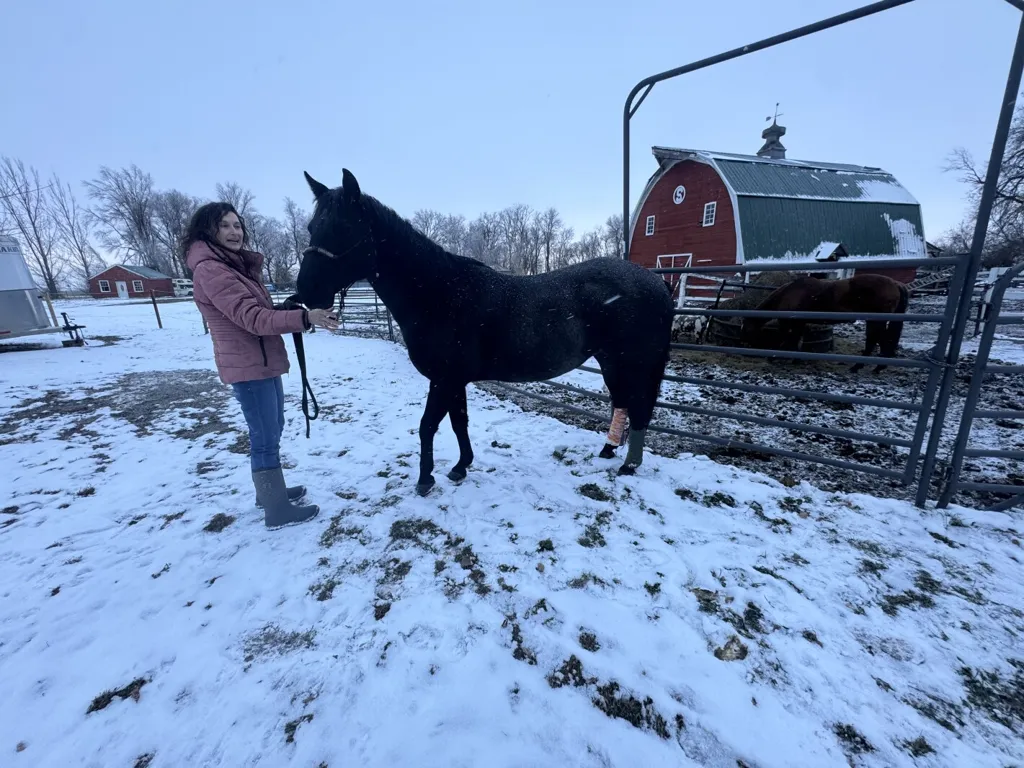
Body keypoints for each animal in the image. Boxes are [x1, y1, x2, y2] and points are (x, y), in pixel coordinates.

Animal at [292, 171, 675, 495]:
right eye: (312, 226)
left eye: (344, 228)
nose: (306, 292)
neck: (438, 293)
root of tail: (656, 283)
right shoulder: (454, 381)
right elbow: (458, 422)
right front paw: (461, 466)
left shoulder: (444, 379)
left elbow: (428, 425)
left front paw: (425, 480)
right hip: (612, 362)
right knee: (624, 404)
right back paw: (609, 453)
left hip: (633, 363)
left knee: (639, 408)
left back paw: (628, 466)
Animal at [741, 274, 909, 374]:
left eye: (746, 329)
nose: (746, 347)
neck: (789, 293)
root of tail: (896, 284)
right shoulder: (799, 324)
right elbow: (794, 341)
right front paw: (795, 359)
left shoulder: (789, 323)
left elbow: (785, 340)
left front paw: (774, 357)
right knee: (878, 340)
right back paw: (873, 366)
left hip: (876, 320)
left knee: (876, 340)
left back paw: (863, 366)